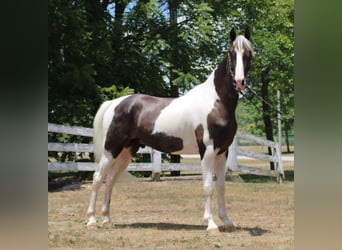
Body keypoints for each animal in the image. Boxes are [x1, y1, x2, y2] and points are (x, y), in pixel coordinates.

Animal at [87, 27, 254, 234]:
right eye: (231, 53)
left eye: (249, 54)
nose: (239, 82)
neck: (215, 102)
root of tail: (114, 103)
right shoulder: (207, 151)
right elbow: (208, 186)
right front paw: (211, 224)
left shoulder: (222, 152)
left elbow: (221, 187)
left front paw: (227, 222)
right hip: (111, 148)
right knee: (97, 178)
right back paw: (91, 220)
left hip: (126, 151)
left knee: (110, 180)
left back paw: (107, 219)